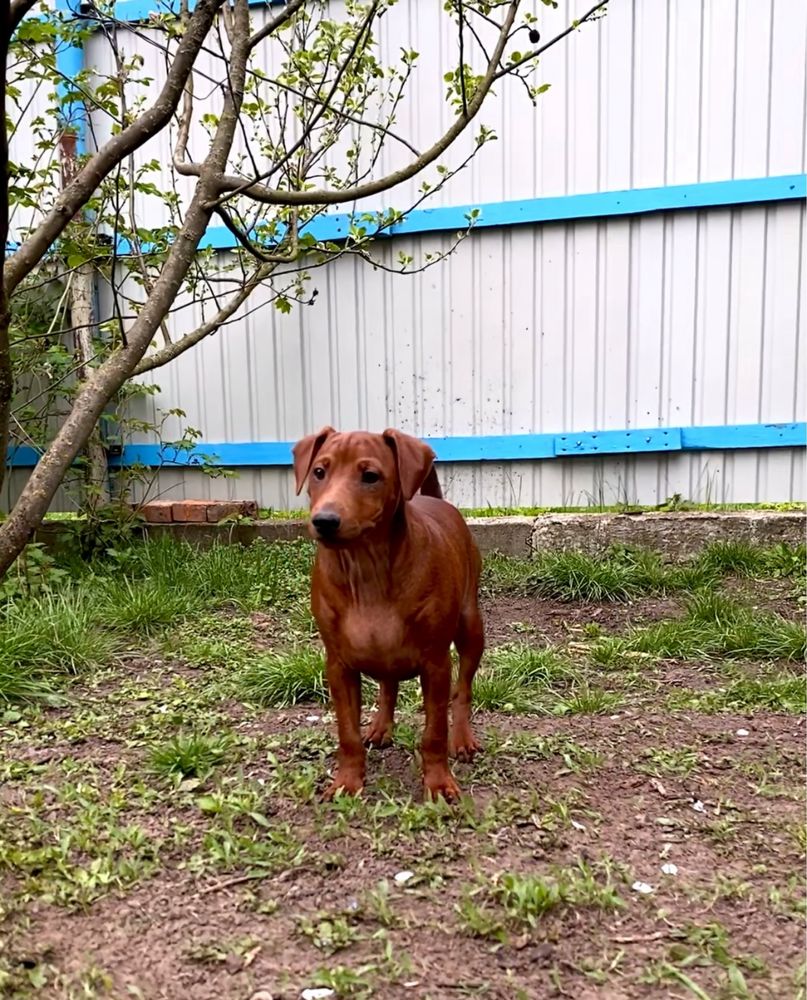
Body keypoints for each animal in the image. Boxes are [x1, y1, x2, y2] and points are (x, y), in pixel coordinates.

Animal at [296, 426, 486, 800]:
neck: (365, 567)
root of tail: (437, 501)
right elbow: (347, 731)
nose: (324, 521)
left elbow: (435, 730)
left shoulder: (436, 664)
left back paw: (462, 738)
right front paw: (347, 781)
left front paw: (438, 782)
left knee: (463, 690)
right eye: (319, 472)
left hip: (472, 626)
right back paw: (382, 727)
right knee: (388, 685)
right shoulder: (338, 666)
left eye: (370, 476)